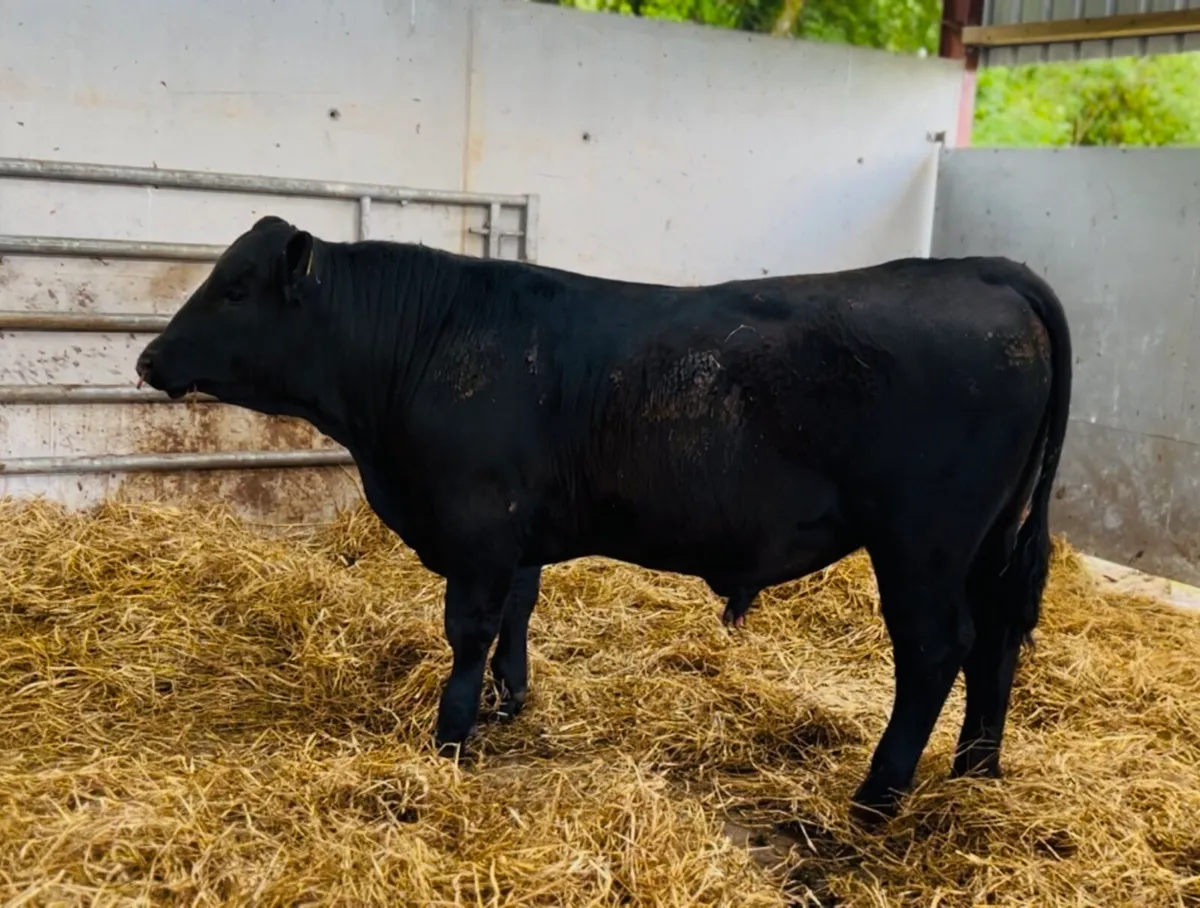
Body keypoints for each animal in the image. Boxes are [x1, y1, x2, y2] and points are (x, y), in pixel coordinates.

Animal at [135, 216, 1071, 825]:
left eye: (236, 288)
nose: (147, 359)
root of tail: (984, 267)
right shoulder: (517, 534)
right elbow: (518, 613)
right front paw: (509, 703)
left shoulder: (478, 526)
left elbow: (469, 631)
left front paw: (450, 738)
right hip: (986, 541)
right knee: (995, 640)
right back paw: (975, 772)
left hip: (921, 542)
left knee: (935, 650)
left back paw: (878, 797)